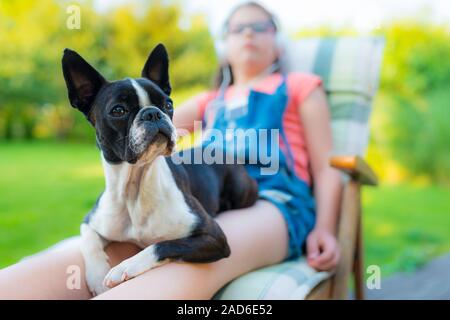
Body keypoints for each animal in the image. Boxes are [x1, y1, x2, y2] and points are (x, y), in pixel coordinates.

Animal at [60, 43, 256, 296]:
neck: (135, 188)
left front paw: (124, 267)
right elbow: (89, 240)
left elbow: (162, 245)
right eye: (118, 111)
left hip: (240, 192)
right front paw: (96, 276)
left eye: (168, 104)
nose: (153, 113)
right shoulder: (91, 221)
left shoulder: (214, 237)